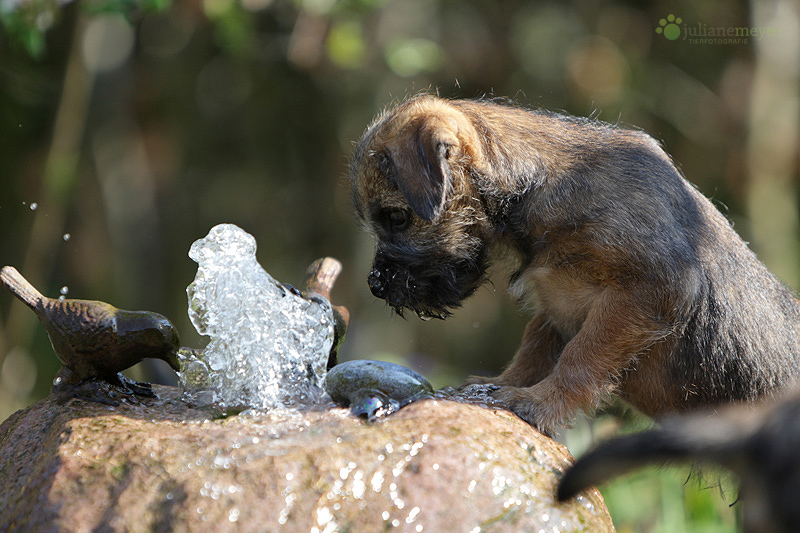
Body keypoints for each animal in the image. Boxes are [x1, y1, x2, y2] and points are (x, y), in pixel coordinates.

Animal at [350, 94, 800, 432]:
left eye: (396, 216)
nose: (374, 284)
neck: (538, 186)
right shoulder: (557, 302)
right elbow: (535, 347)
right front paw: (500, 386)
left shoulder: (650, 290)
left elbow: (582, 354)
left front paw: (540, 402)